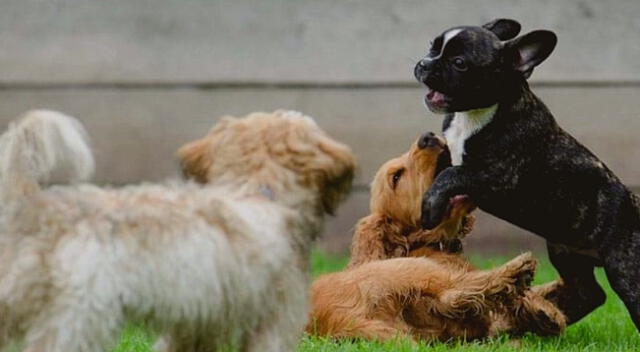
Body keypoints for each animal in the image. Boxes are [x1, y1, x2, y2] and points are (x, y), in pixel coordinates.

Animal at [308, 132, 568, 340]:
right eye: (396, 177)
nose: (428, 137)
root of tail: (337, 319)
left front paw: (552, 291)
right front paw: (544, 307)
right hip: (409, 270)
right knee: (455, 292)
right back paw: (519, 273)